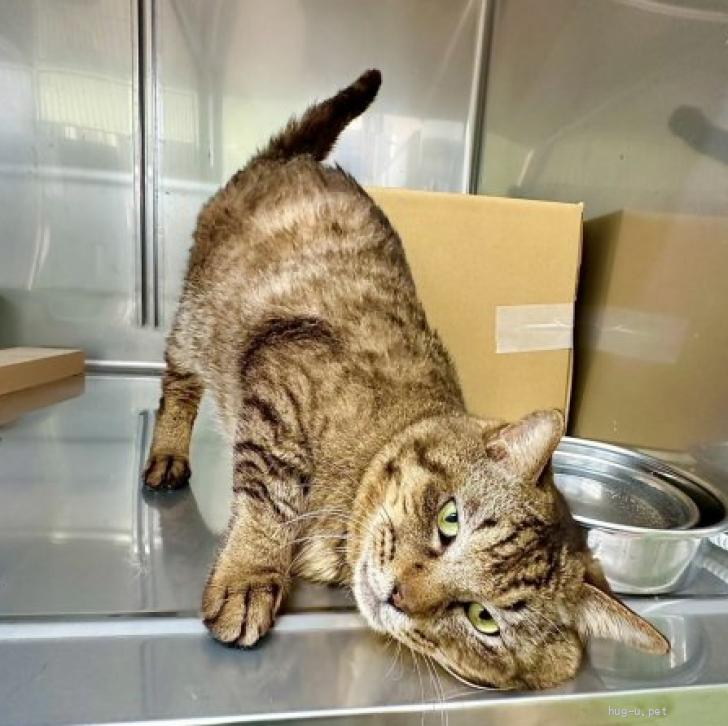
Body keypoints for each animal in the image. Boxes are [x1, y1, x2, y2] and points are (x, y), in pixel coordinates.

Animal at [143, 69, 669, 689]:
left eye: (484, 619)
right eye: (449, 520)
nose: (398, 593)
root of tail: (294, 158)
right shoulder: (283, 377)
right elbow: (270, 494)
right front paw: (250, 575)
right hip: (197, 320)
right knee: (178, 383)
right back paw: (168, 452)